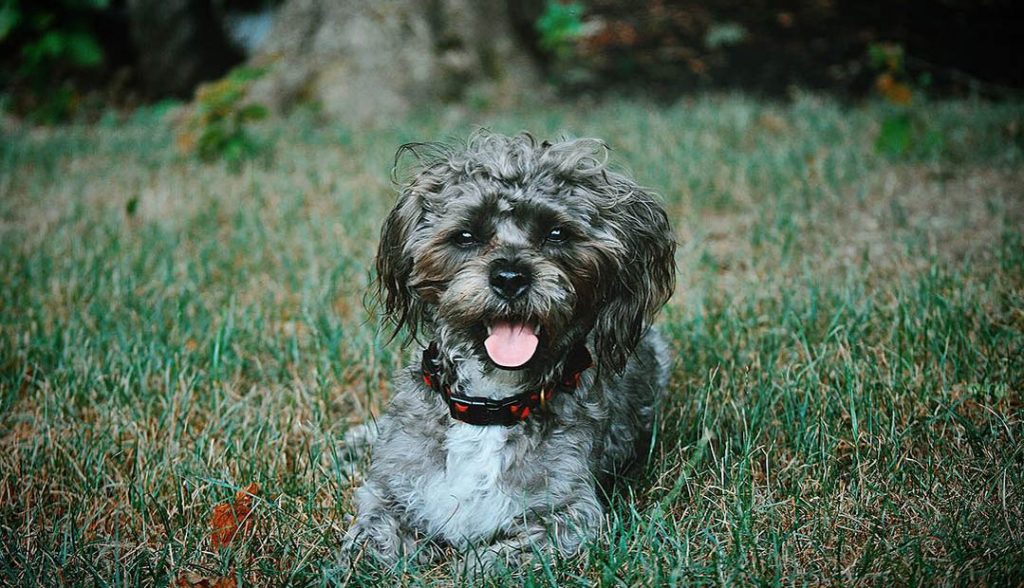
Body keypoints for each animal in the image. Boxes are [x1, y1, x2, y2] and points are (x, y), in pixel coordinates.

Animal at [339, 130, 675, 577]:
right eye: (466, 236)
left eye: (556, 234)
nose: (510, 277)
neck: (491, 405)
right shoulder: (387, 491)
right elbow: (369, 541)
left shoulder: (570, 515)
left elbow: (491, 560)